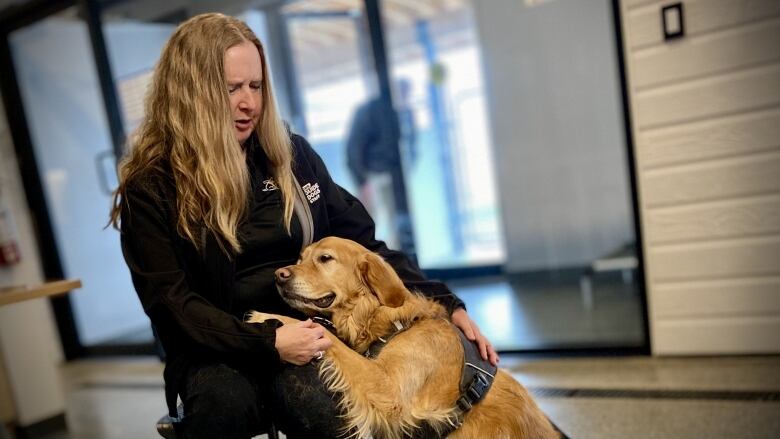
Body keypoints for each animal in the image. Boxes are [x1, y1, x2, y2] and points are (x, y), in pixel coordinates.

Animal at [247, 237, 556, 439]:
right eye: (300, 259)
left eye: (325, 259)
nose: (279, 275)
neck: (391, 321)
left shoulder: (388, 388)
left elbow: (326, 336)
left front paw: (267, 317)